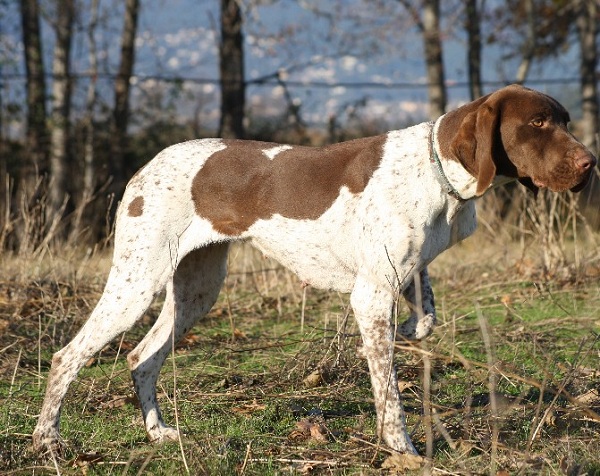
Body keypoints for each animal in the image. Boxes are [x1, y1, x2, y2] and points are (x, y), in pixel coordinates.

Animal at [32, 84, 596, 454]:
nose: (590, 163)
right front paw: (403, 448)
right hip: (136, 283)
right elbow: (390, 394)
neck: (438, 171)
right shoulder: (371, 295)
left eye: (566, 120)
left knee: (142, 358)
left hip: (195, 290)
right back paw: (47, 439)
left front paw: (395, 337)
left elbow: (425, 320)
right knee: (67, 356)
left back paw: (157, 434)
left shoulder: (407, 275)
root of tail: (145, 167)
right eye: (538, 123)